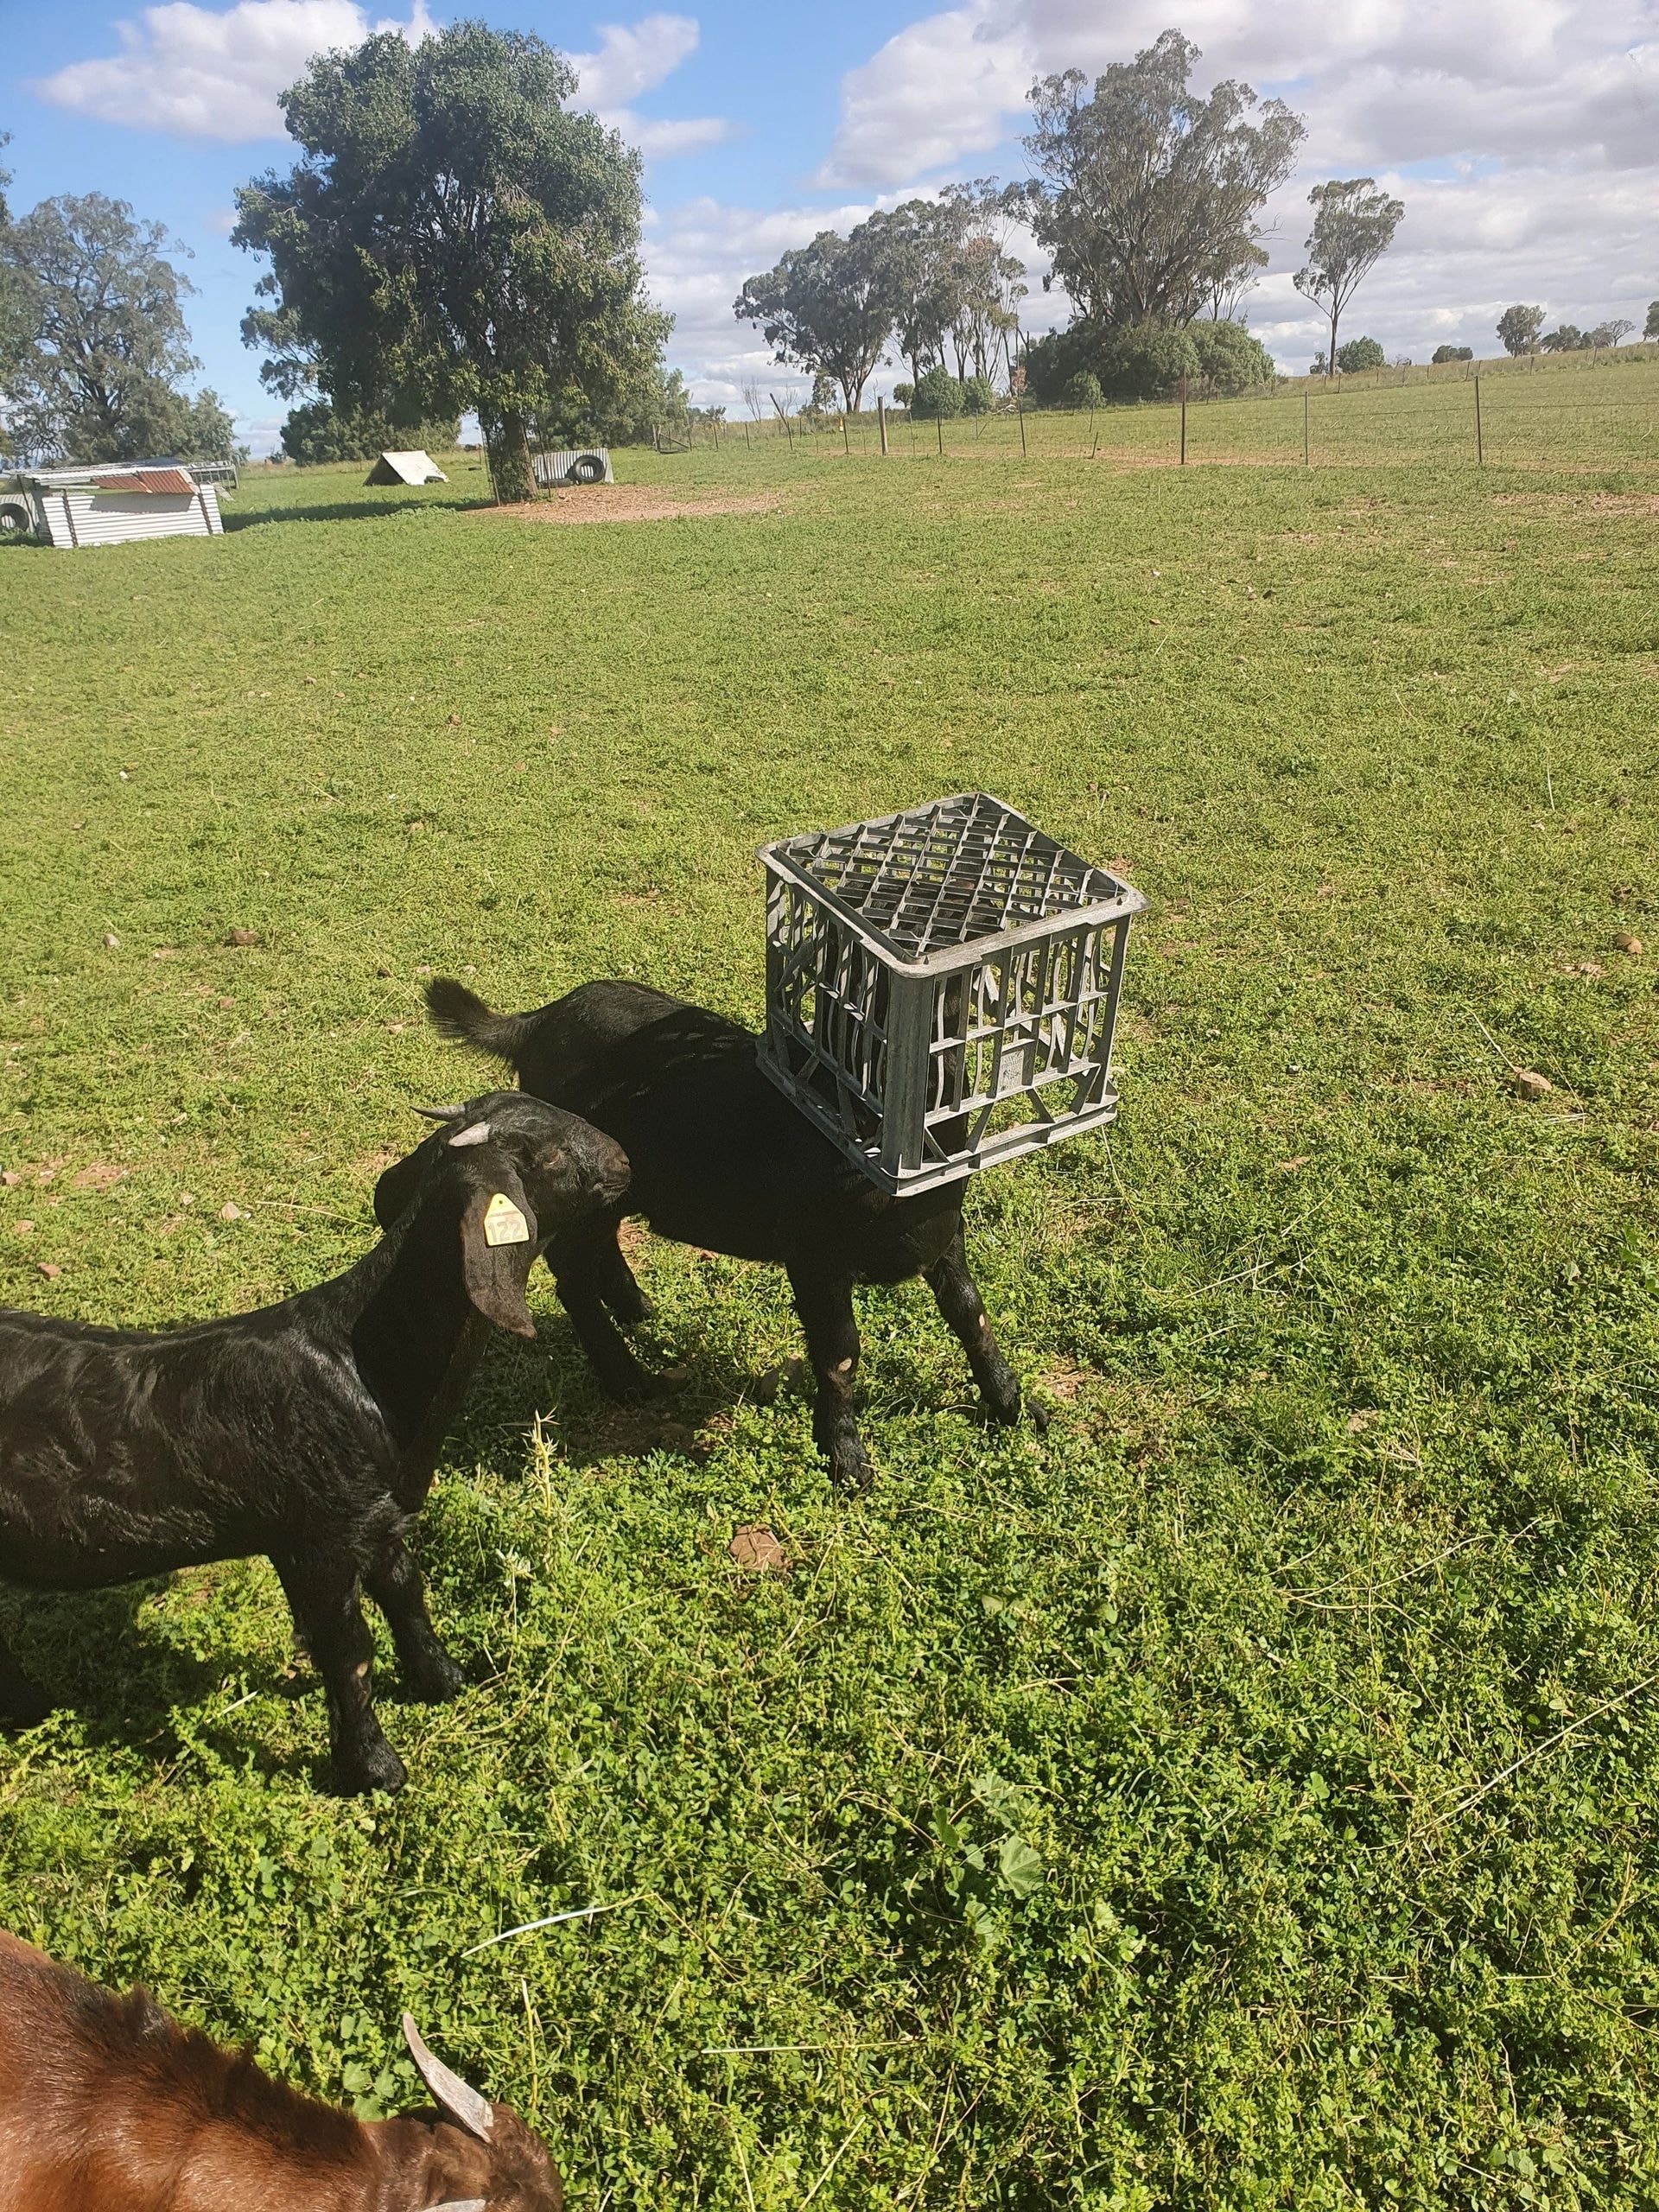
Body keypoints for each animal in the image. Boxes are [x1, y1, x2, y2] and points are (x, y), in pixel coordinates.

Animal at [0, 1092, 629, 1794]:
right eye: (545, 1154)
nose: (625, 1160)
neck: (364, 1365)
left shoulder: (375, 1520)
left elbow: (406, 1592)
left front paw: (444, 1681)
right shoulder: (312, 1537)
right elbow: (346, 1650)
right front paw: (375, 1769)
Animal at [421, 978, 1044, 1491]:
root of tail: (538, 1020)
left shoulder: (944, 1234)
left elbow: (971, 1313)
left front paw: (1016, 1408)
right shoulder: (812, 1255)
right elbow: (840, 1352)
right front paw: (847, 1461)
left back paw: (637, 1307)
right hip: (580, 1188)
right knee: (571, 1276)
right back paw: (631, 1380)